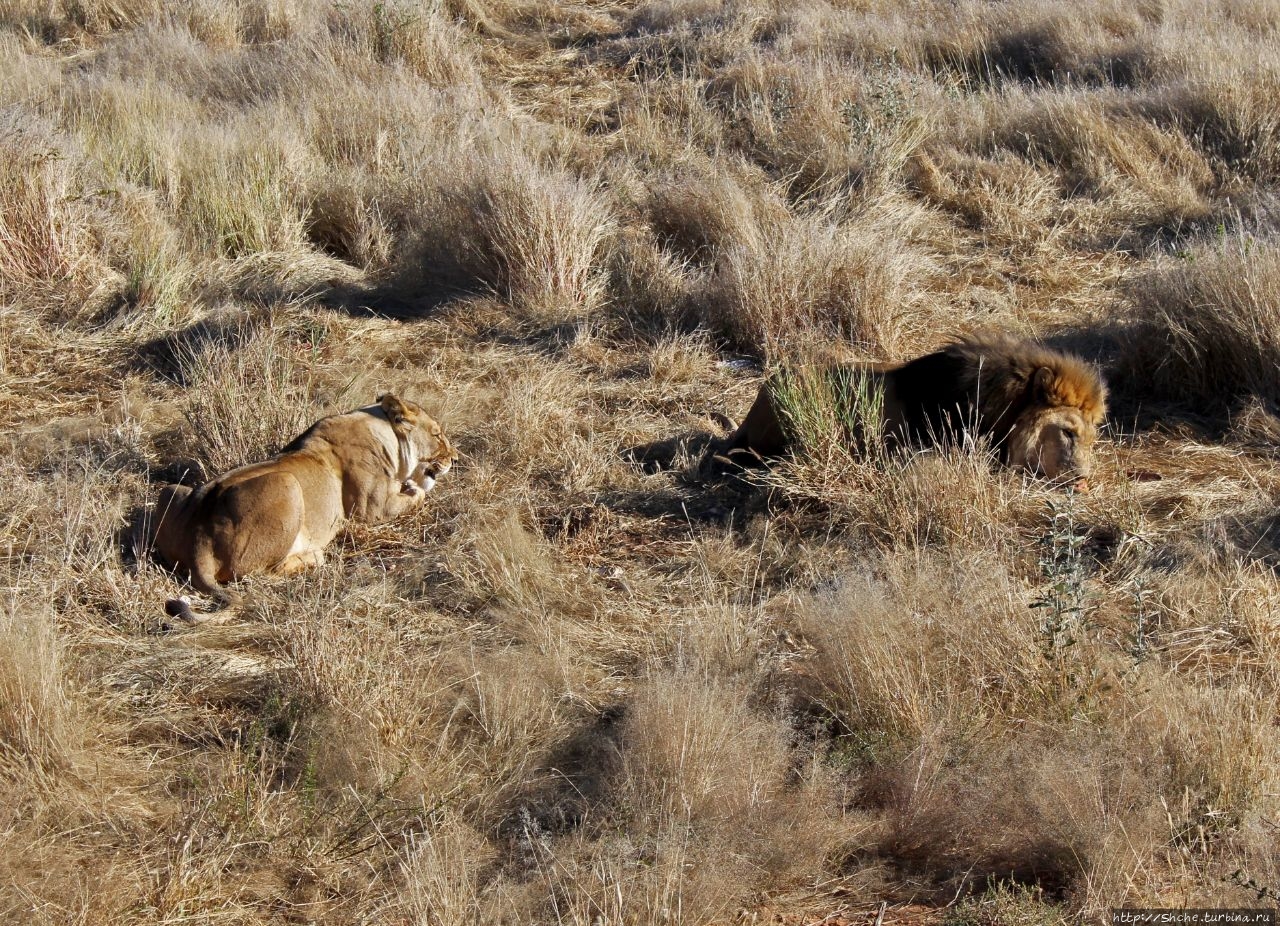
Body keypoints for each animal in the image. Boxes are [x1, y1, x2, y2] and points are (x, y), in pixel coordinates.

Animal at [149, 391, 455, 622]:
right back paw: (313, 556)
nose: (454, 458)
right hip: (287, 482)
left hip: (171, 491)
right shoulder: (374, 509)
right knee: (260, 573)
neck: (380, 430)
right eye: (438, 435)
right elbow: (419, 496)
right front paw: (416, 486)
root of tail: (198, 538)